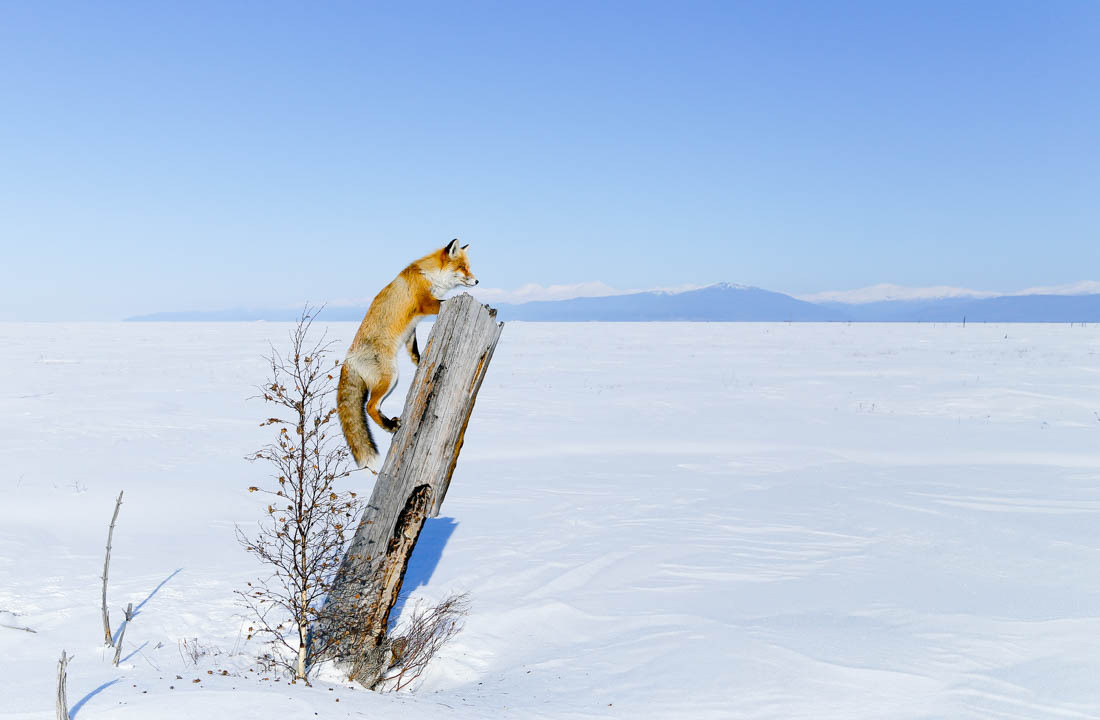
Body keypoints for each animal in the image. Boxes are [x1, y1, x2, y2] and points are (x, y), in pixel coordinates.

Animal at [338, 239, 477, 470]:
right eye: (463, 268)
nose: (477, 280)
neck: (429, 274)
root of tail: (348, 359)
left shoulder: (412, 329)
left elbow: (414, 351)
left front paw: (420, 362)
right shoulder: (426, 303)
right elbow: (444, 301)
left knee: (373, 407)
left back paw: (390, 424)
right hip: (390, 377)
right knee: (369, 406)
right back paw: (390, 426)